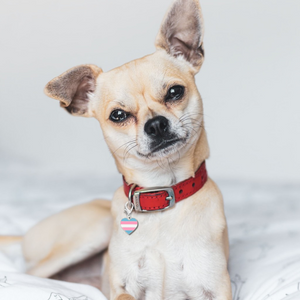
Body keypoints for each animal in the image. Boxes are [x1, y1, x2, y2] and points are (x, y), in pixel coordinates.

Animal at [4, 0, 232, 298]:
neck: (161, 194)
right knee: (28, 274)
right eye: (118, 115)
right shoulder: (122, 287)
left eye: (174, 92)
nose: (156, 124)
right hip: (95, 229)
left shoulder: (217, 288)